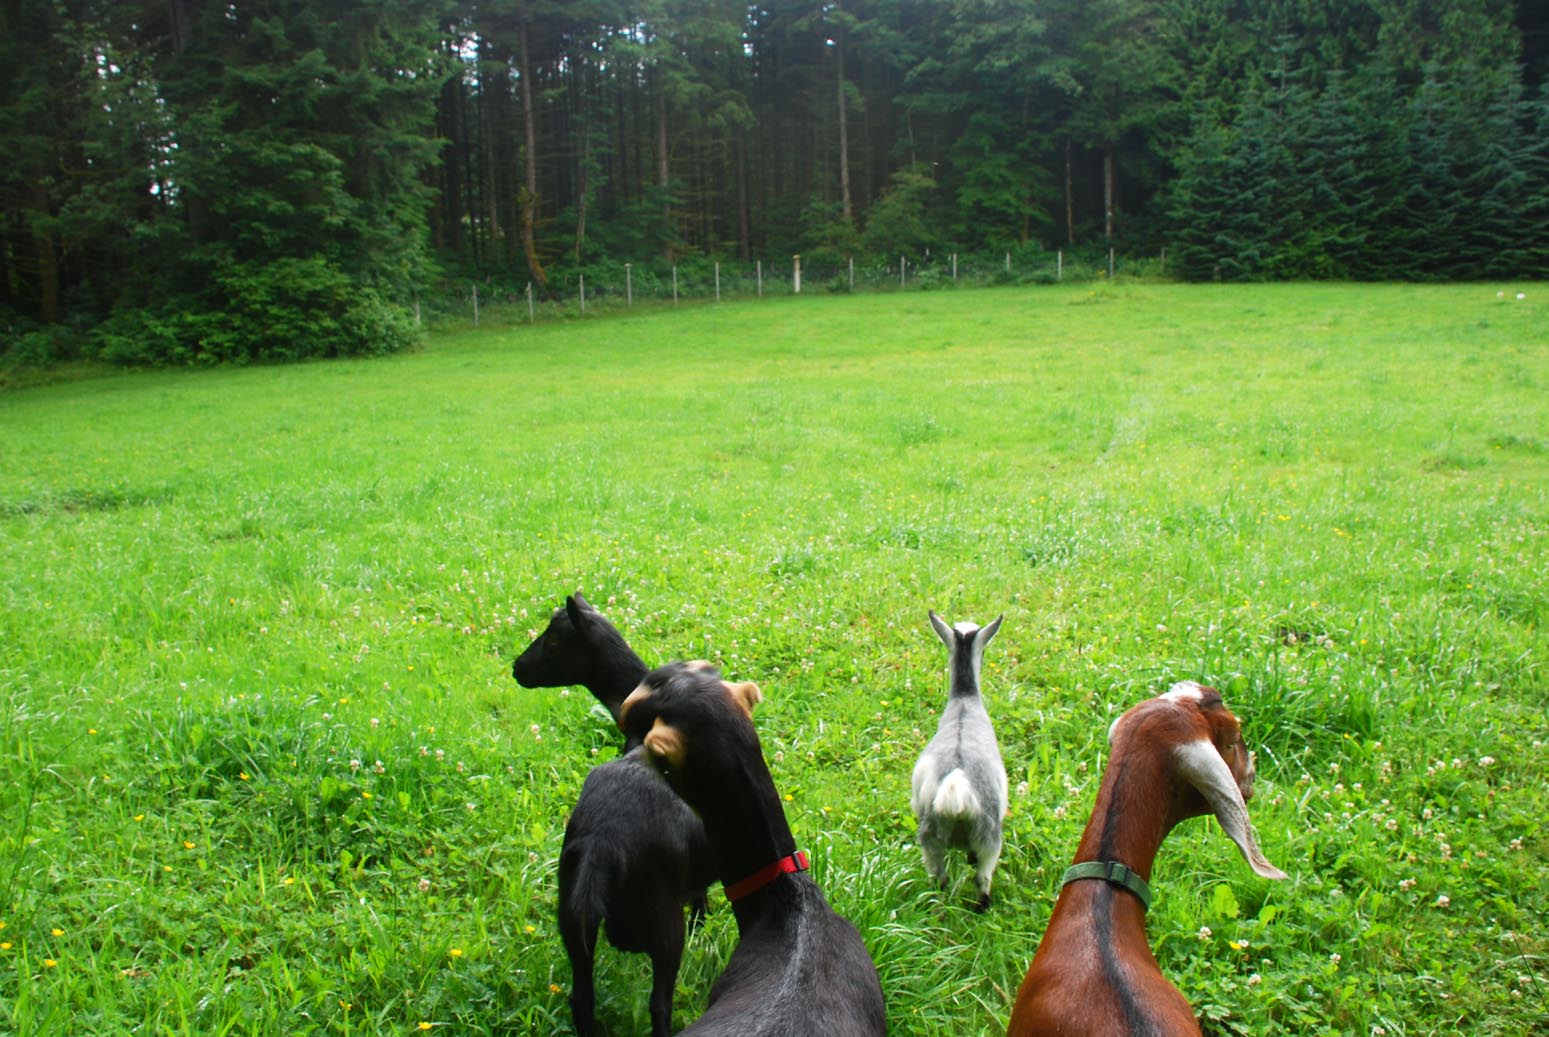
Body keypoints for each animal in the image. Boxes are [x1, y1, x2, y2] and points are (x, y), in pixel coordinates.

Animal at [512, 593, 715, 1037]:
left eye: (556, 640)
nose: (517, 668)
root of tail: (600, 849)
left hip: (572, 920)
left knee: (581, 999)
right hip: (663, 927)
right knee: (659, 1004)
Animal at [910, 610, 1008, 911]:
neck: (965, 700)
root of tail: (957, 785)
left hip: (931, 838)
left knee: (939, 880)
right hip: (989, 839)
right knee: (982, 878)